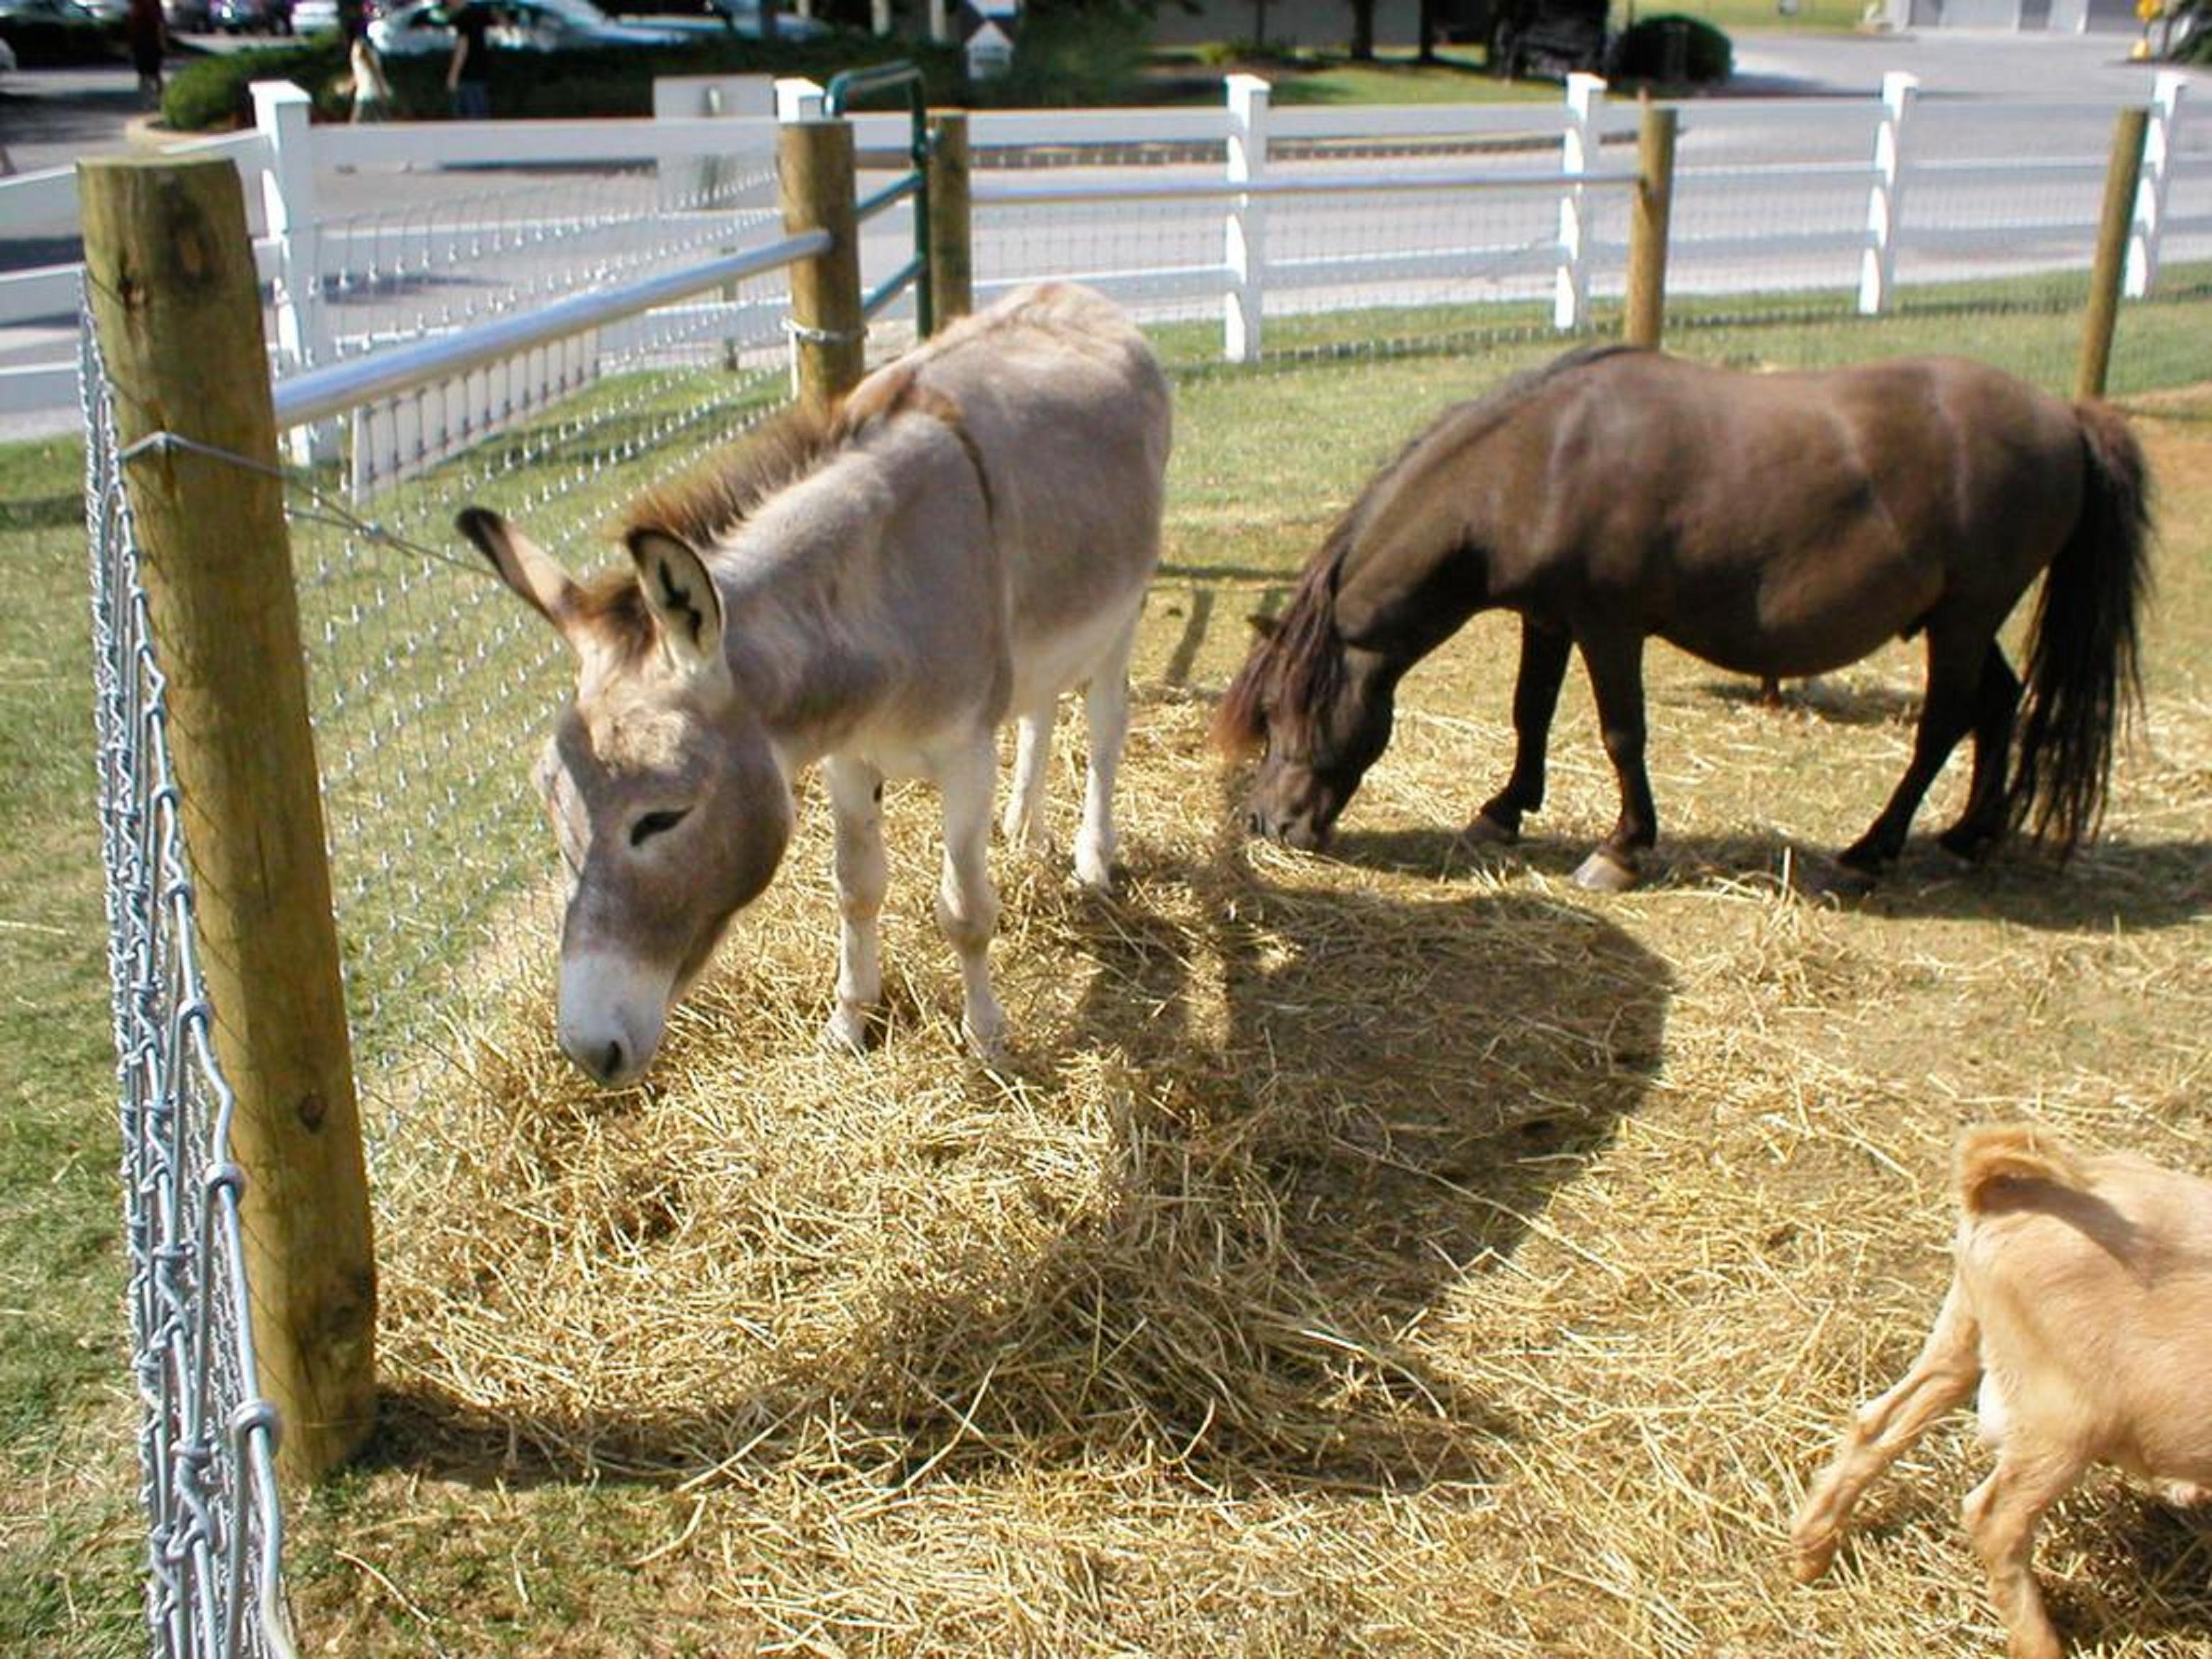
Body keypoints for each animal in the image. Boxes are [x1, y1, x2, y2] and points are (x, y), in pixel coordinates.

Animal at [1220, 345, 2149, 898]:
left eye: (1290, 712)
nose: (1269, 824)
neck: (1537, 464)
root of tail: (2066, 417)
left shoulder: (1609, 626)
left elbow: (1620, 734)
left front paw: (1623, 849)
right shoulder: (1548, 620)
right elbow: (1530, 715)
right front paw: (1504, 811)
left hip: (1961, 618)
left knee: (1947, 721)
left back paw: (1872, 850)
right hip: (1963, 618)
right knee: (2000, 705)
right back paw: (1970, 836)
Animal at [1796, 1123, 2212, 1654]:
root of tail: (2004, 1194)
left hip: (1964, 1334)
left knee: (1879, 1422)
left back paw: (1809, 1555)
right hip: (2061, 1417)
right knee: (1995, 1519)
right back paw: (2041, 1647)